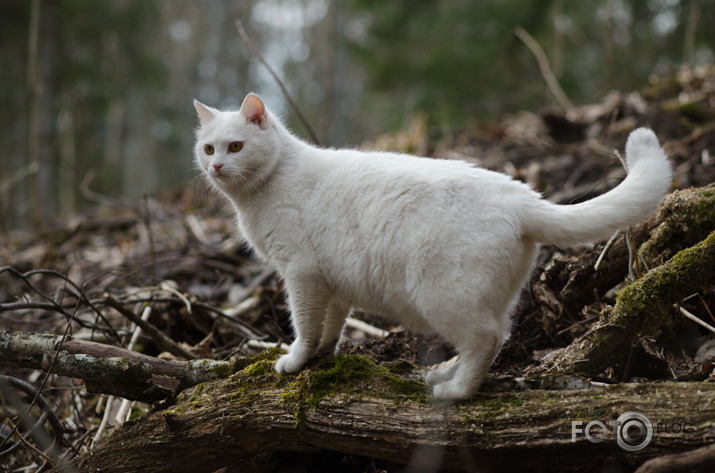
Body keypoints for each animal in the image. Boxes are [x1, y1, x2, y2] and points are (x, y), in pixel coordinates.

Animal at [193, 94, 676, 400]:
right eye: (208, 148)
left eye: (236, 146)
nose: (216, 166)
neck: (263, 190)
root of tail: (522, 196)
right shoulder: (332, 285)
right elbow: (331, 327)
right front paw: (323, 357)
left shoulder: (301, 275)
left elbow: (306, 327)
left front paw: (295, 361)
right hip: (487, 297)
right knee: (498, 335)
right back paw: (445, 373)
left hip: (444, 297)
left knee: (485, 340)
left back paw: (455, 391)